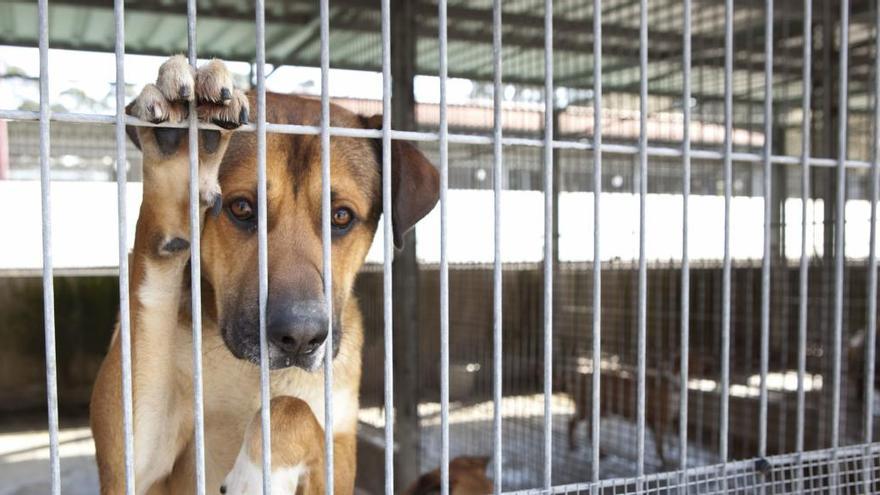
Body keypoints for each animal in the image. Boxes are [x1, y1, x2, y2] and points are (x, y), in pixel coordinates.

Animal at [89, 56, 440, 495]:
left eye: (341, 217)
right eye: (241, 208)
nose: (301, 338)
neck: (252, 375)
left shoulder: (339, 458)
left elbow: (292, 407)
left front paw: (259, 471)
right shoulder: (134, 467)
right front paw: (177, 160)